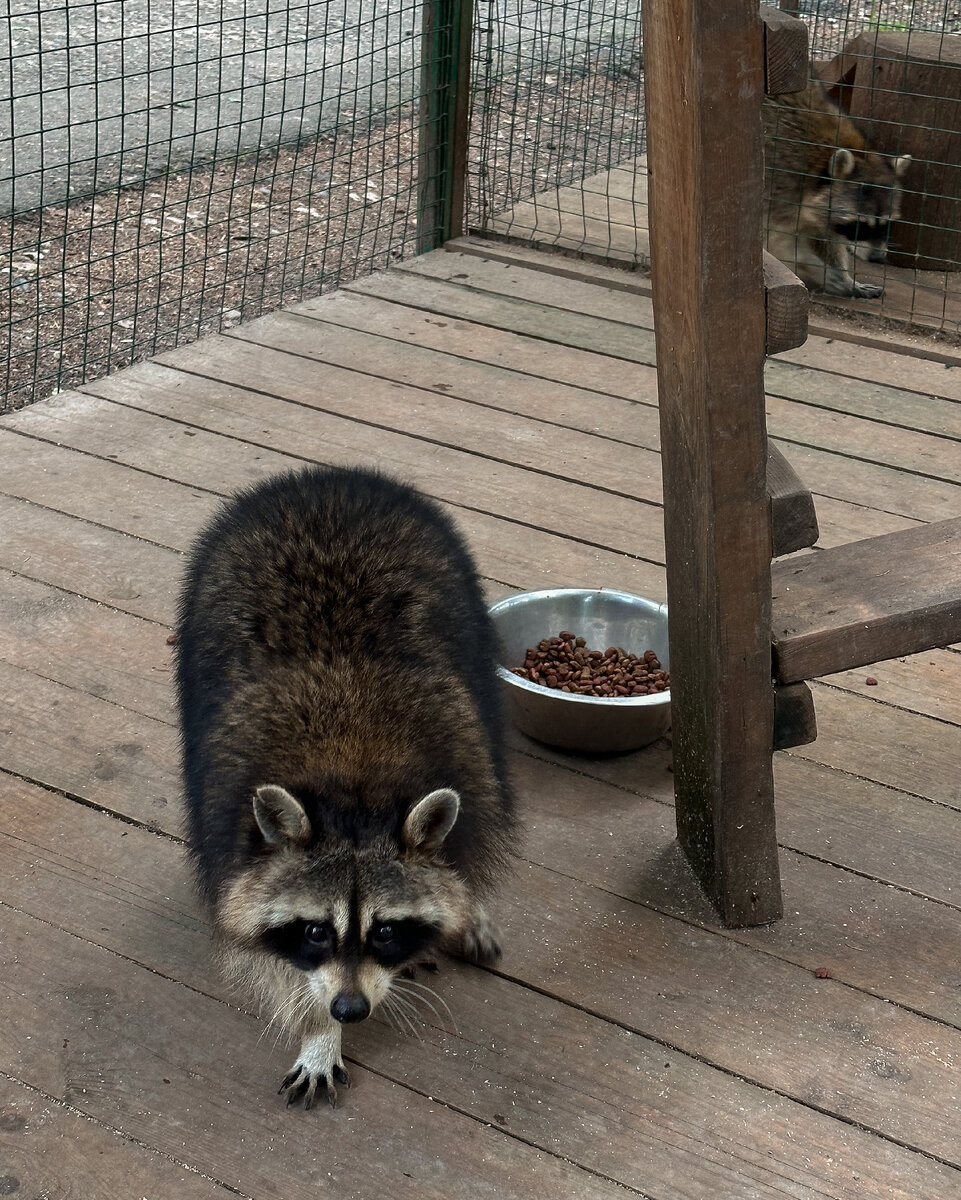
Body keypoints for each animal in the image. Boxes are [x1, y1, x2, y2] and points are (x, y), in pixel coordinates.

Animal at [173, 463, 518, 1108]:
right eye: (314, 931)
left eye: (385, 931)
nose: (351, 1009)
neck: (353, 783)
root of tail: (329, 476)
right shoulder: (225, 812)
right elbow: (266, 946)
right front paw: (317, 1030)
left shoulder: (466, 759)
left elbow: (470, 846)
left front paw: (463, 910)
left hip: (465, 610)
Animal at [763, 79, 907, 297]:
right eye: (859, 225)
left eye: (887, 224)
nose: (877, 258)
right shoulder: (777, 184)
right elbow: (774, 242)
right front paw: (821, 270)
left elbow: (827, 238)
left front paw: (845, 278)